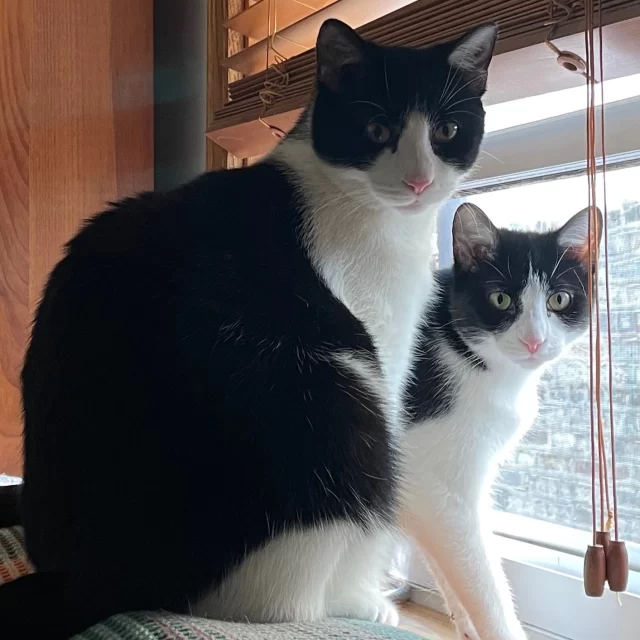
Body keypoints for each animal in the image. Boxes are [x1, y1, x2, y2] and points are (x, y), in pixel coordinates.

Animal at [0, 18, 498, 636]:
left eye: (448, 130)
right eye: (377, 127)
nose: (419, 181)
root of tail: (93, 582)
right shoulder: (380, 345)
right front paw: (365, 597)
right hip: (338, 396)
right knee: (282, 599)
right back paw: (351, 604)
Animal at [402, 202, 604, 640]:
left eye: (559, 299)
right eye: (500, 298)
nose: (534, 340)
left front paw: (463, 622)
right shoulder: (434, 481)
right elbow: (479, 577)